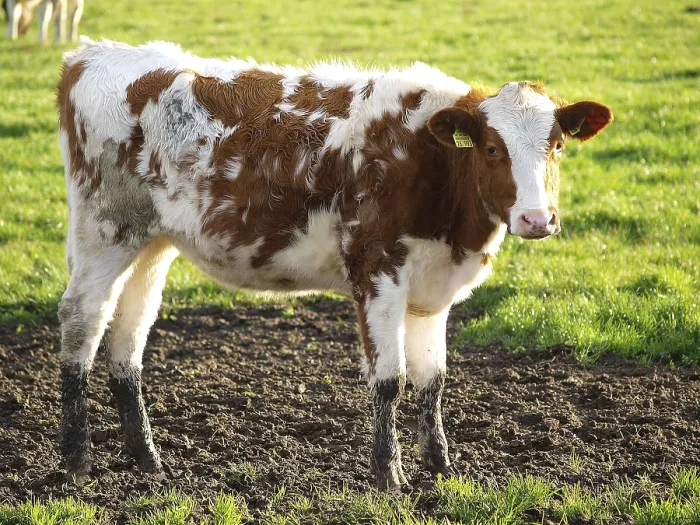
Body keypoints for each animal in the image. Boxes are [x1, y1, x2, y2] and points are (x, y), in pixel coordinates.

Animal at [56, 38, 612, 491]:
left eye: (556, 146)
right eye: (493, 149)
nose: (537, 218)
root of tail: (91, 54)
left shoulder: (432, 289)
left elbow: (433, 380)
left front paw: (441, 467)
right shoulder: (376, 271)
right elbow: (390, 379)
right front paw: (389, 476)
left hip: (151, 245)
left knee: (127, 341)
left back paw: (147, 459)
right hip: (104, 233)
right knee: (81, 322)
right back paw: (77, 459)